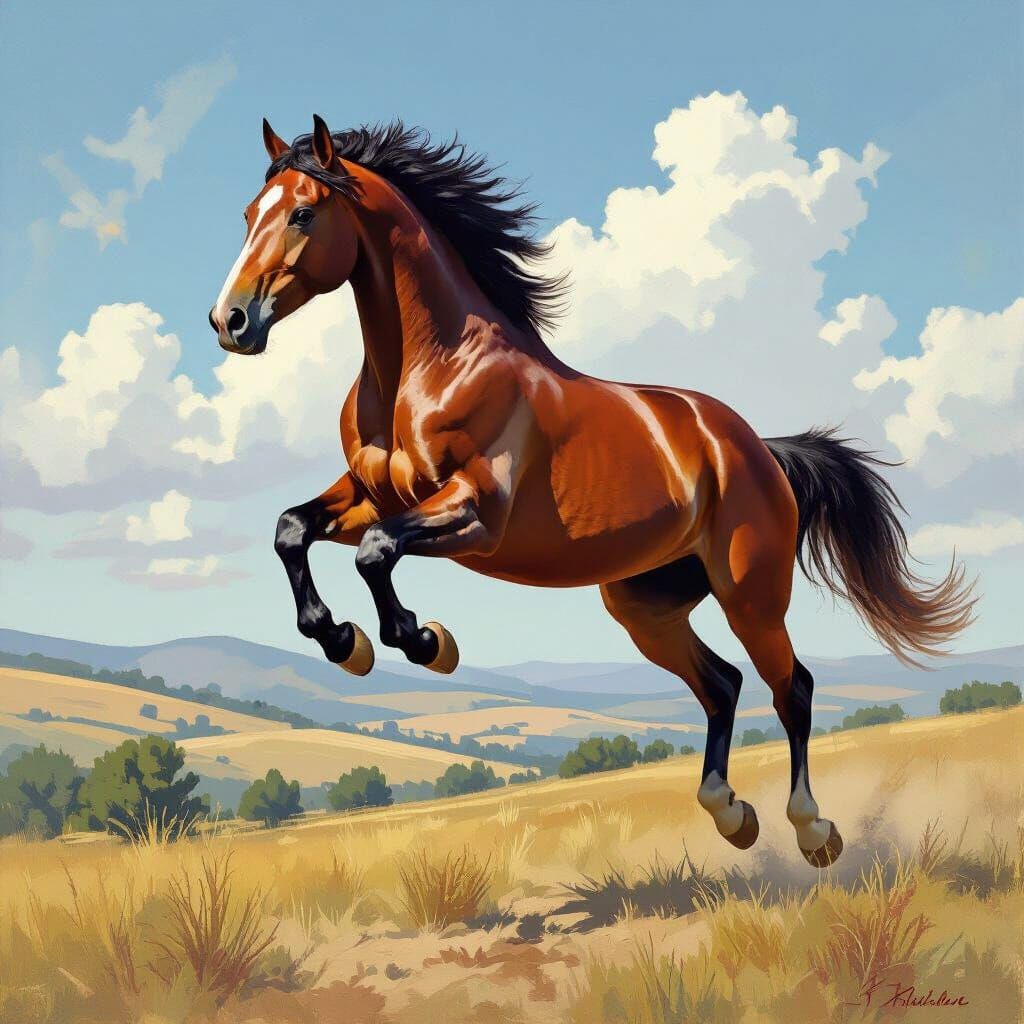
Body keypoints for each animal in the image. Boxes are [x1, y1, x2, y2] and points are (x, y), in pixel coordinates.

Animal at [210, 115, 974, 867]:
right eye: (248, 213)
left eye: (304, 212)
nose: (231, 321)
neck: (431, 367)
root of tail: (758, 447)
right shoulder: (373, 496)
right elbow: (291, 528)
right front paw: (344, 641)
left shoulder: (474, 514)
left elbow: (374, 553)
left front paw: (426, 642)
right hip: (645, 605)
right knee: (723, 684)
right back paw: (731, 814)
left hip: (750, 593)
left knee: (794, 689)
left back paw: (813, 830)